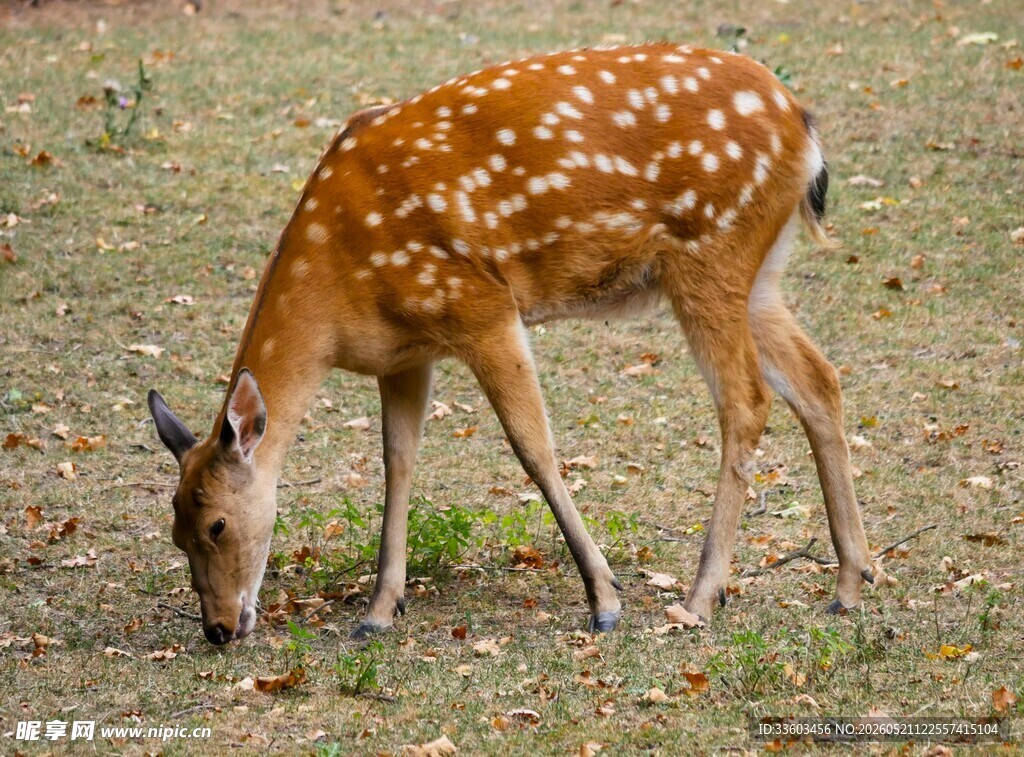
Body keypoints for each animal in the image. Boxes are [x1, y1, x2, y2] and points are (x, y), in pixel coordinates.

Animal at [148, 42, 876, 645]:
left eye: (216, 523)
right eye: (175, 530)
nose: (218, 628)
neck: (337, 299)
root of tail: (804, 128)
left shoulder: (481, 304)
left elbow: (534, 449)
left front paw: (605, 600)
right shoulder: (406, 352)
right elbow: (397, 462)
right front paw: (380, 610)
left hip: (711, 251)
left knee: (746, 400)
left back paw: (701, 596)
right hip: (759, 270)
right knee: (820, 379)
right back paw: (850, 582)